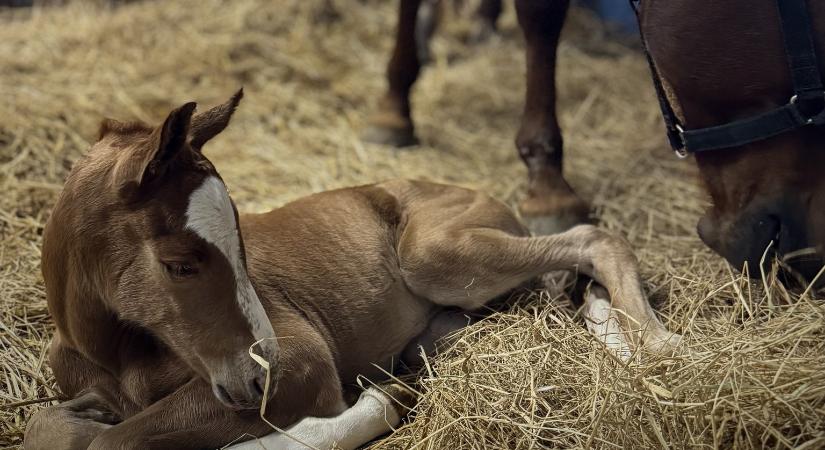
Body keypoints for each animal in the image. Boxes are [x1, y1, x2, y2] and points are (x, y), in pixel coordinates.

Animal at [24, 91, 676, 450]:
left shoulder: (304, 361)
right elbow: (62, 428)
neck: (119, 354)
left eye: (242, 242)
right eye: (180, 264)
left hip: (435, 254)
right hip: (448, 324)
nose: (261, 376)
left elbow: (119, 439)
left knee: (593, 238)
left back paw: (660, 343)